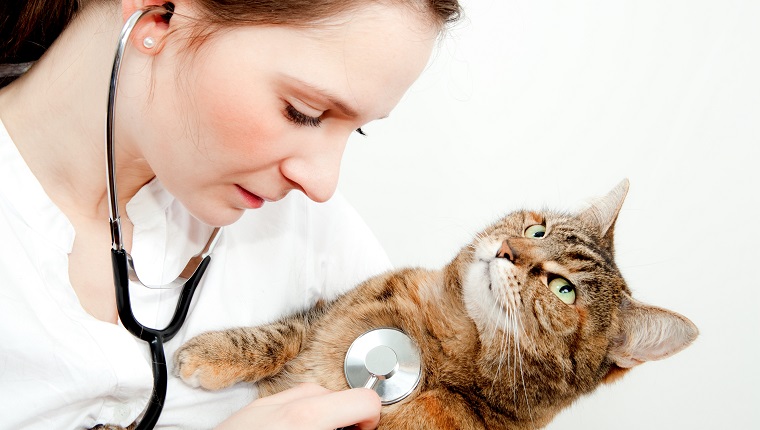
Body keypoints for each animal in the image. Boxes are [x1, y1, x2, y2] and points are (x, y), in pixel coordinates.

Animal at [175, 180, 696, 428]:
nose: (508, 249)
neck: (443, 336)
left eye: (563, 289)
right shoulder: (331, 307)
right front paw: (211, 353)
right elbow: (283, 330)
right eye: (536, 230)